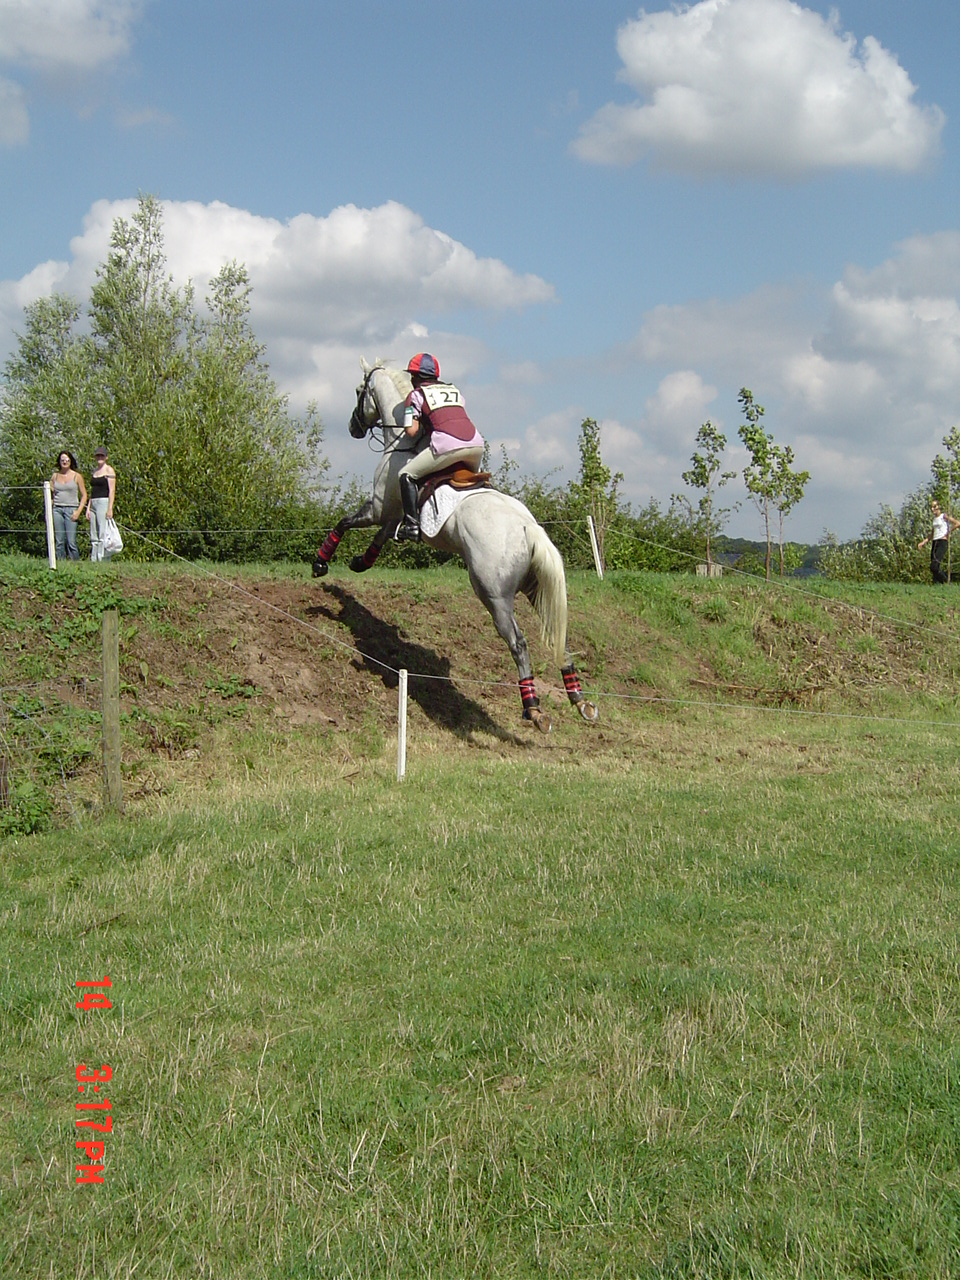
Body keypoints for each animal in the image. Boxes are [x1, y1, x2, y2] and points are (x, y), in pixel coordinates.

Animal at [316, 360, 599, 732]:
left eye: (359, 391)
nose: (352, 427)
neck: (405, 441)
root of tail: (529, 528)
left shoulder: (379, 506)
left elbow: (345, 522)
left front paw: (320, 563)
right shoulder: (393, 513)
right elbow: (383, 536)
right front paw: (361, 562)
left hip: (493, 595)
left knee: (518, 643)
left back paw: (533, 708)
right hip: (535, 587)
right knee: (559, 638)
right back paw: (578, 699)